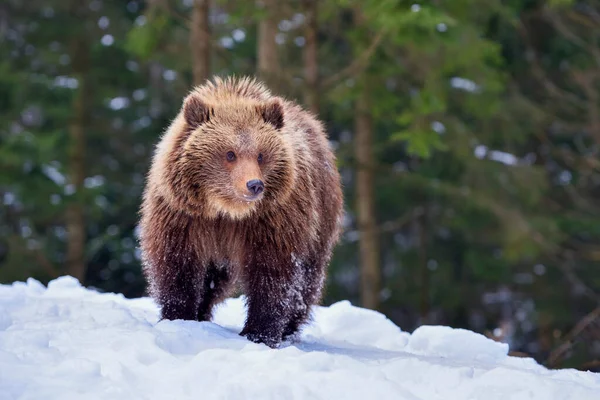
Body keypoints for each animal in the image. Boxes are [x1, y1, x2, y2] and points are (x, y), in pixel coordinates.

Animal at [137, 76, 342, 346]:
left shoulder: (271, 221)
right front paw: (178, 316)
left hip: (320, 221)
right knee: (214, 280)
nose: (254, 184)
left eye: (261, 155)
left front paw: (259, 332)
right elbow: (177, 263)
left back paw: (289, 329)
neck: (226, 212)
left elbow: (273, 272)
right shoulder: (184, 216)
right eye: (230, 153)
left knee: (307, 281)